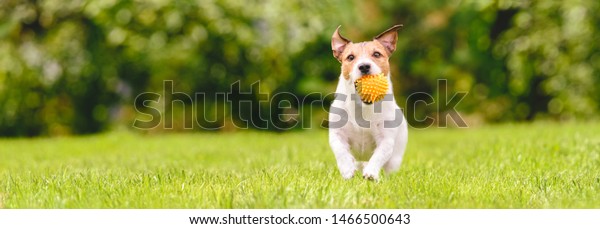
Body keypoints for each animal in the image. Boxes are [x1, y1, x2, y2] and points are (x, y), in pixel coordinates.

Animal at [328, 25, 408, 181]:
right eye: (350, 57)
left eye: (376, 54)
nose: (364, 66)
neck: (363, 107)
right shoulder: (337, 134)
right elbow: (341, 151)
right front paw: (347, 170)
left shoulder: (386, 139)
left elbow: (379, 155)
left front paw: (371, 173)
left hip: (396, 158)